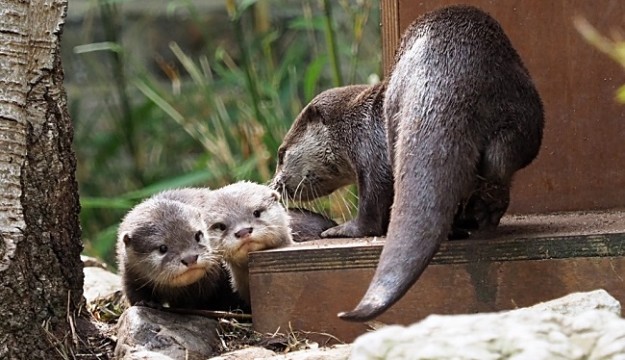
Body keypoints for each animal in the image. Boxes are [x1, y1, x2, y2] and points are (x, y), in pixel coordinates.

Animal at [272, 4, 540, 320]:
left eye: (281, 154)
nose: (274, 186)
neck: (355, 124)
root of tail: (446, 74)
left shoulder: (369, 153)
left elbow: (373, 205)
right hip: (518, 117)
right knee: (497, 168)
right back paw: (478, 218)